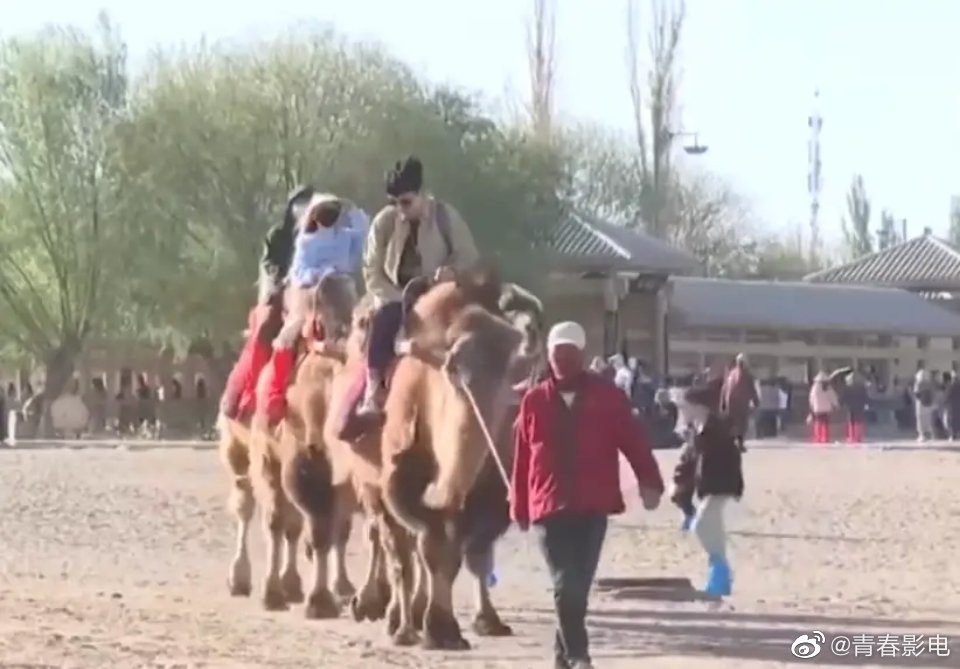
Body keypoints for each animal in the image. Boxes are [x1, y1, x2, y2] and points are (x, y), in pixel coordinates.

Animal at [219, 270, 362, 616]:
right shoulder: (287, 458)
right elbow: (284, 522)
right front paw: (283, 594)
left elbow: (334, 528)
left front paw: (338, 589)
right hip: (238, 448)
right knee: (247, 504)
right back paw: (240, 578)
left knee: (296, 523)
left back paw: (294, 583)